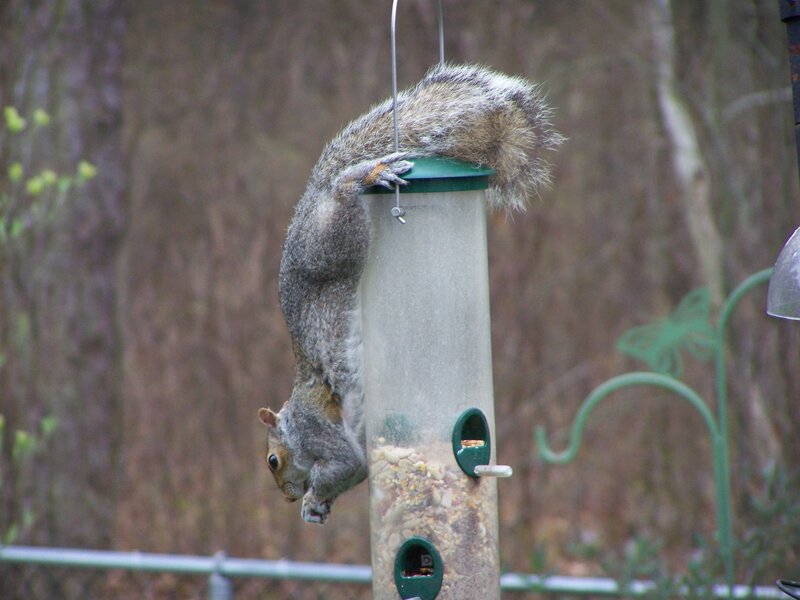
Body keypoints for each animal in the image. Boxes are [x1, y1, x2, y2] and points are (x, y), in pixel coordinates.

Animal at [258, 63, 561, 524]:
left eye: (273, 461)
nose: (289, 497)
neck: (295, 421)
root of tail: (312, 198)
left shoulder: (318, 431)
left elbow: (344, 463)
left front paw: (314, 498)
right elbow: (357, 469)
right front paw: (319, 507)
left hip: (330, 242)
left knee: (344, 195)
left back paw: (365, 175)